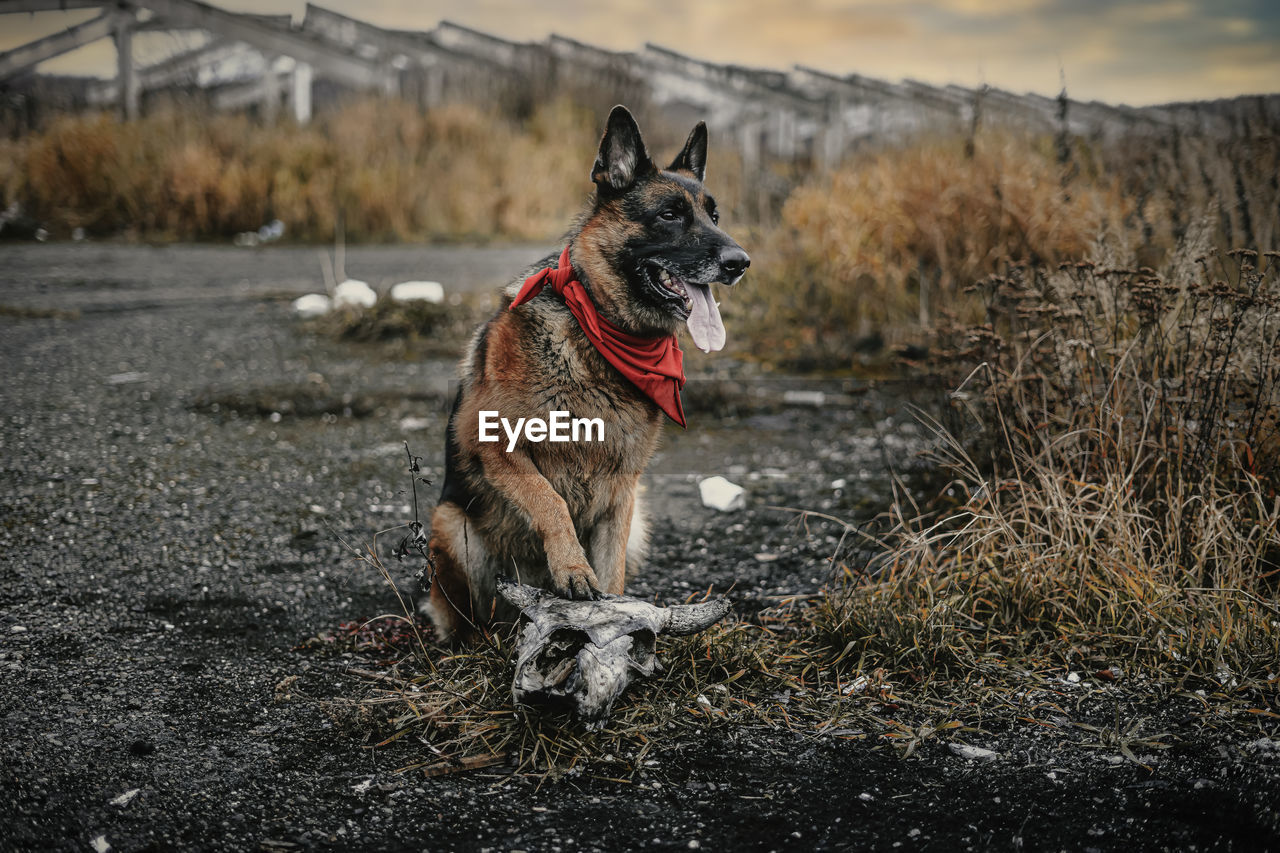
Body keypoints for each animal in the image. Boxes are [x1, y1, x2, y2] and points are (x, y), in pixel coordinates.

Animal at [424, 104, 747, 637]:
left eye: (714, 216)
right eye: (670, 215)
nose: (740, 262)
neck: (599, 328)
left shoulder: (622, 493)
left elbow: (611, 572)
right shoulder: (497, 448)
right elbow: (550, 501)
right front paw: (572, 569)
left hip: (640, 518)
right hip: (451, 526)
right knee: (470, 617)